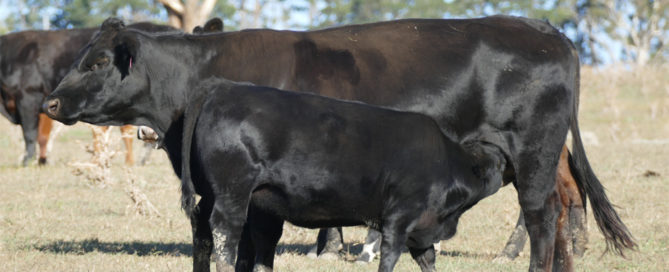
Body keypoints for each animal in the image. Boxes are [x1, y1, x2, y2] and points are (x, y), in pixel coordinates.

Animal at [0, 21, 175, 166]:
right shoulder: (45, 103)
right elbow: (43, 135)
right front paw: (43, 161)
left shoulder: (28, 97)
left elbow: (30, 133)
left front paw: (27, 161)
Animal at [45, 17, 632, 272]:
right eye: (83, 57)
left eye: (98, 62)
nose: (49, 102)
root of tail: (544, 29)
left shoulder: (254, 196)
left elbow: (248, 249)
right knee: (560, 207)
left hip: (532, 154)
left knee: (541, 216)